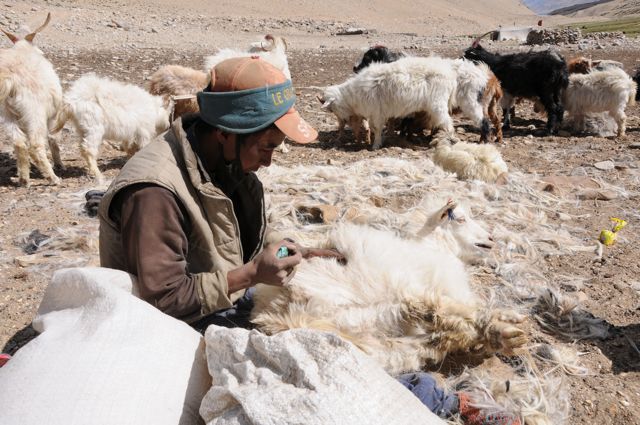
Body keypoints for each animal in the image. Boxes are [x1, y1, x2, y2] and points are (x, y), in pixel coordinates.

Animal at [0, 12, 64, 186]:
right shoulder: (53, 115)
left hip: (6, 113)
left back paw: (24, 179)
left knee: (19, 142)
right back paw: (53, 178)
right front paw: (59, 164)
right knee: (35, 144)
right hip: (34, 110)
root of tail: (11, 78)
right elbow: (53, 138)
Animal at [250, 197, 524, 372]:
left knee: (437, 334)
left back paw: (502, 336)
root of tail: (281, 307)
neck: (434, 247)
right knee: (437, 315)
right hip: (387, 295)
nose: (490, 239)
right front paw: (506, 319)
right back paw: (503, 332)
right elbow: (470, 309)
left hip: (374, 334)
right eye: (461, 219)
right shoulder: (445, 288)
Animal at [318, 55, 456, 150]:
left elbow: (376, 128)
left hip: (437, 104)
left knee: (447, 123)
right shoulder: (377, 113)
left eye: (332, 108)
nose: (341, 124)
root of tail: (449, 75)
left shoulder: (376, 112)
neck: (352, 96)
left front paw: (376, 145)